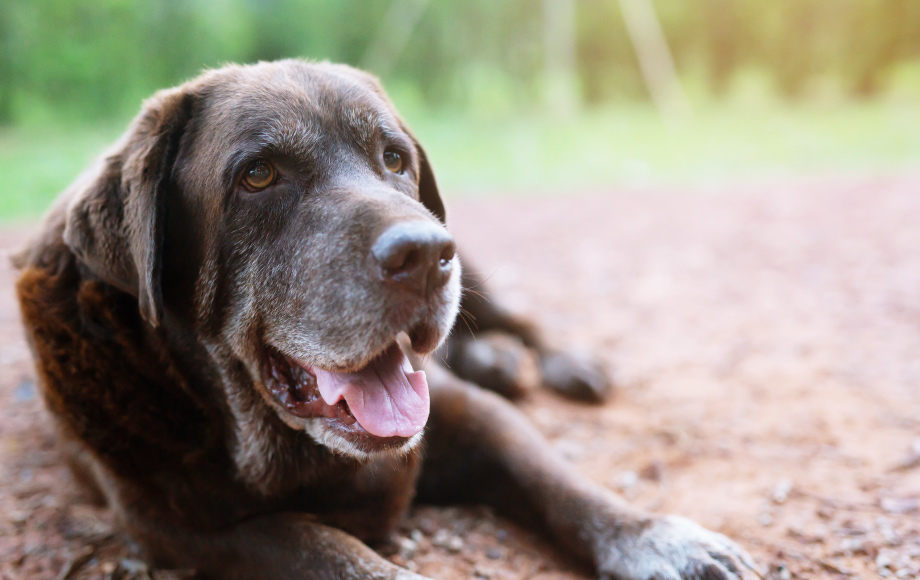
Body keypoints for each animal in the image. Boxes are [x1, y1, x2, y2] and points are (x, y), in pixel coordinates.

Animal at [14, 61, 760, 576]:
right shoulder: (178, 524)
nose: (426, 254)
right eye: (257, 176)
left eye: (394, 159)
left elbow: (562, 482)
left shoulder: (470, 416)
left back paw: (556, 361)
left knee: (514, 318)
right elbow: (318, 545)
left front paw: (663, 540)